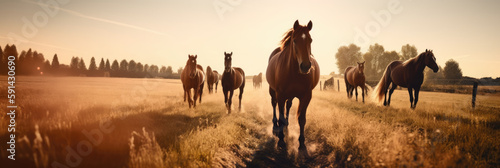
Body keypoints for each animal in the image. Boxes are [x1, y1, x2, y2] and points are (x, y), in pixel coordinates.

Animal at [266, 20, 320, 152]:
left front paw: (302, 143)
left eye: (310, 40)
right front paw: (281, 141)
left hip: (290, 95)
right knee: (274, 104)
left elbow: (302, 119)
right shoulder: (280, 95)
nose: (305, 66)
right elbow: (280, 115)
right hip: (272, 91)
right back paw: (275, 126)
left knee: (288, 105)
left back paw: (286, 124)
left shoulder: (306, 96)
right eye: (294, 40)